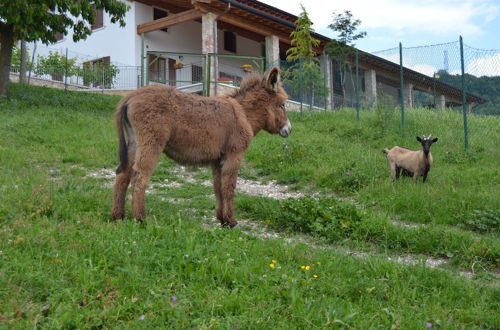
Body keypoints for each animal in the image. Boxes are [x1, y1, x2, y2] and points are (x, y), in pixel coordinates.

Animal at [109, 67, 290, 227]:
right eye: (282, 104)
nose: (289, 130)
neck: (244, 114)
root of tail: (131, 96)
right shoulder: (234, 155)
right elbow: (229, 187)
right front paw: (231, 221)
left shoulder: (218, 160)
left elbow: (218, 187)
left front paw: (222, 219)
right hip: (151, 142)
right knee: (139, 177)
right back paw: (141, 219)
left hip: (133, 143)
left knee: (123, 175)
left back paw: (118, 217)